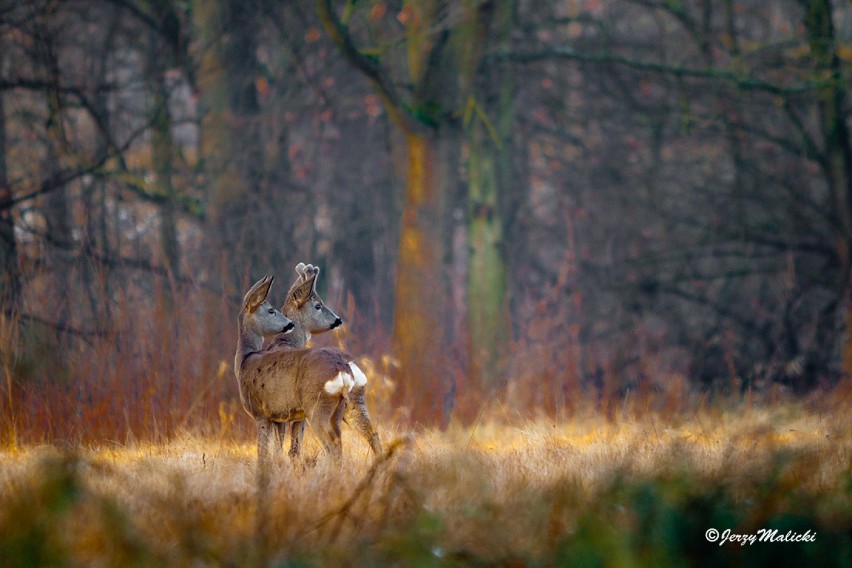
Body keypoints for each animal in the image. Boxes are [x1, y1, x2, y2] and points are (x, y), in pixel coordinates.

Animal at [270, 264, 382, 460]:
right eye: (318, 305)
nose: (338, 319)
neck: (285, 341)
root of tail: (345, 365)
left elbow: (286, 447)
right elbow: (290, 447)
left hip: (318, 407)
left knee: (332, 444)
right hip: (355, 401)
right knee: (372, 433)